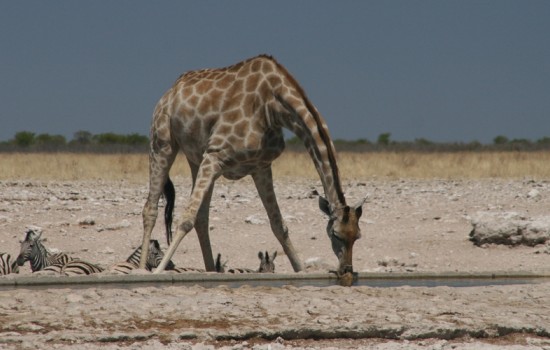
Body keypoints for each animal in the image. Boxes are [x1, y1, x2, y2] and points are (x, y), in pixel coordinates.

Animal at [141, 55, 366, 276]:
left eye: (357, 236)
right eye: (335, 234)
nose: (346, 270)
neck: (273, 106)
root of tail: (170, 92)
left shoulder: (260, 166)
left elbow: (278, 225)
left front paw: (301, 270)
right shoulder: (215, 156)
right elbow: (186, 218)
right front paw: (158, 271)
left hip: (196, 158)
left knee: (202, 218)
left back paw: (210, 270)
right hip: (162, 142)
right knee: (151, 208)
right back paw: (142, 268)